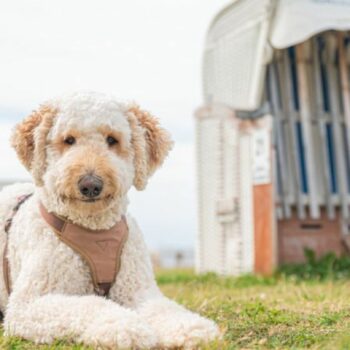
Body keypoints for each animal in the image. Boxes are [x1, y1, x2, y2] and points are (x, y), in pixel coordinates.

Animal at [0, 91, 219, 348]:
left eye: (112, 140)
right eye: (69, 140)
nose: (90, 185)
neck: (94, 228)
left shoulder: (138, 290)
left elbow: (162, 308)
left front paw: (191, 328)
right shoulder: (28, 304)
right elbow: (90, 305)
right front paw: (125, 327)